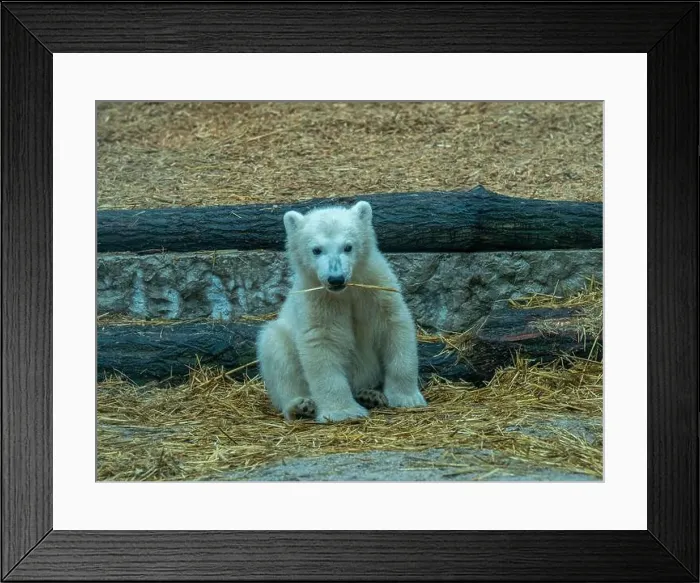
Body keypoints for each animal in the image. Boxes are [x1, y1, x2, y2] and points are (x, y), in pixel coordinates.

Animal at [256, 200, 428, 423]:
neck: (346, 292)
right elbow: (322, 341)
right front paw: (343, 412)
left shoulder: (376, 289)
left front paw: (407, 397)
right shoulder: (318, 300)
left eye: (348, 247)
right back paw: (300, 406)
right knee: (276, 350)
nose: (335, 279)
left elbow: (394, 326)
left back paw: (370, 395)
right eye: (316, 250)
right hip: (281, 340)